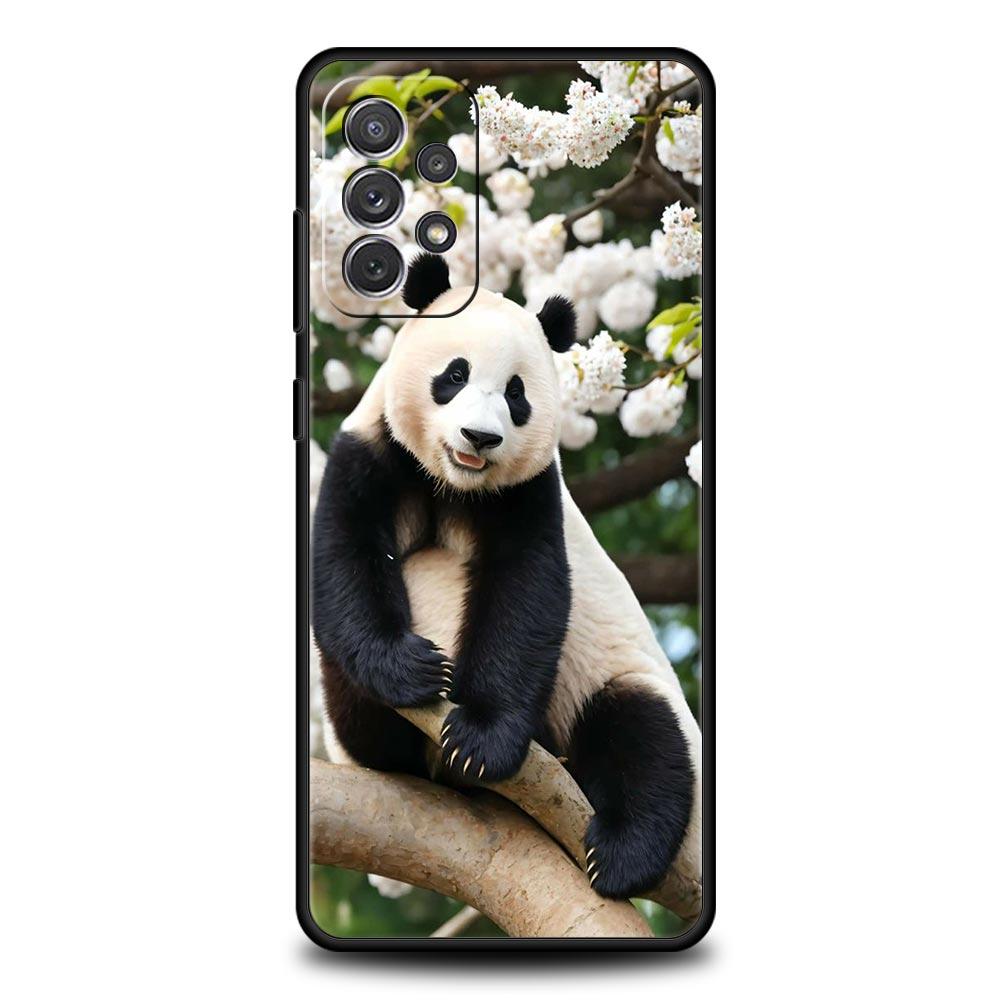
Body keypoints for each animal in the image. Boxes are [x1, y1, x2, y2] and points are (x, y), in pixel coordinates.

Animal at [312, 254, 701, 901]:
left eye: (516, 393)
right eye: (455, 374)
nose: (480, 437)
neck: (453, 483)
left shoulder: (530, 491)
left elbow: (526, 593)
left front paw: (480, 741)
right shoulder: (371, 450)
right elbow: (346, 559)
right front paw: (409, 668)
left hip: (609, 686)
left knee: (644, 735)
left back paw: (621, 852)